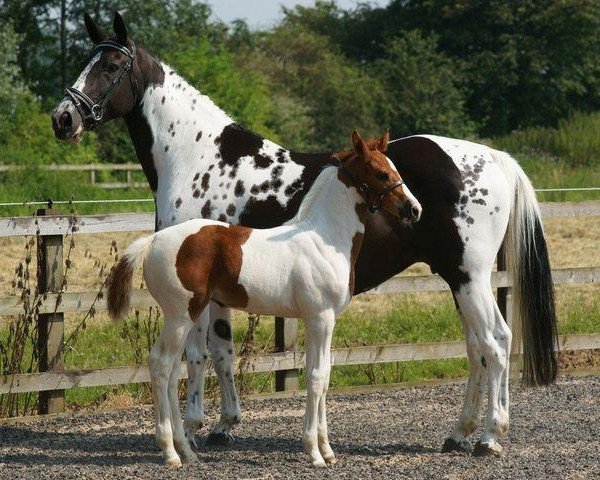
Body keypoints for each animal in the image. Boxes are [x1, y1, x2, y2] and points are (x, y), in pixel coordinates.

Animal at [104, 130, 422, 464]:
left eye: (394, 168)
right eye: (381, 173)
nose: (414, 209)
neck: (323, 237)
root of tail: (153, 240)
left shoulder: (323, 321)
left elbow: (323, 377)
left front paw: (327, 450)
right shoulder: (320, 318)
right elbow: (316, 378)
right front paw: (314, 452)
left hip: (187, 315)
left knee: (171, 370)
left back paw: (186, 450)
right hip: (180, 316)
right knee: (161, 365)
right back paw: (170, 451)